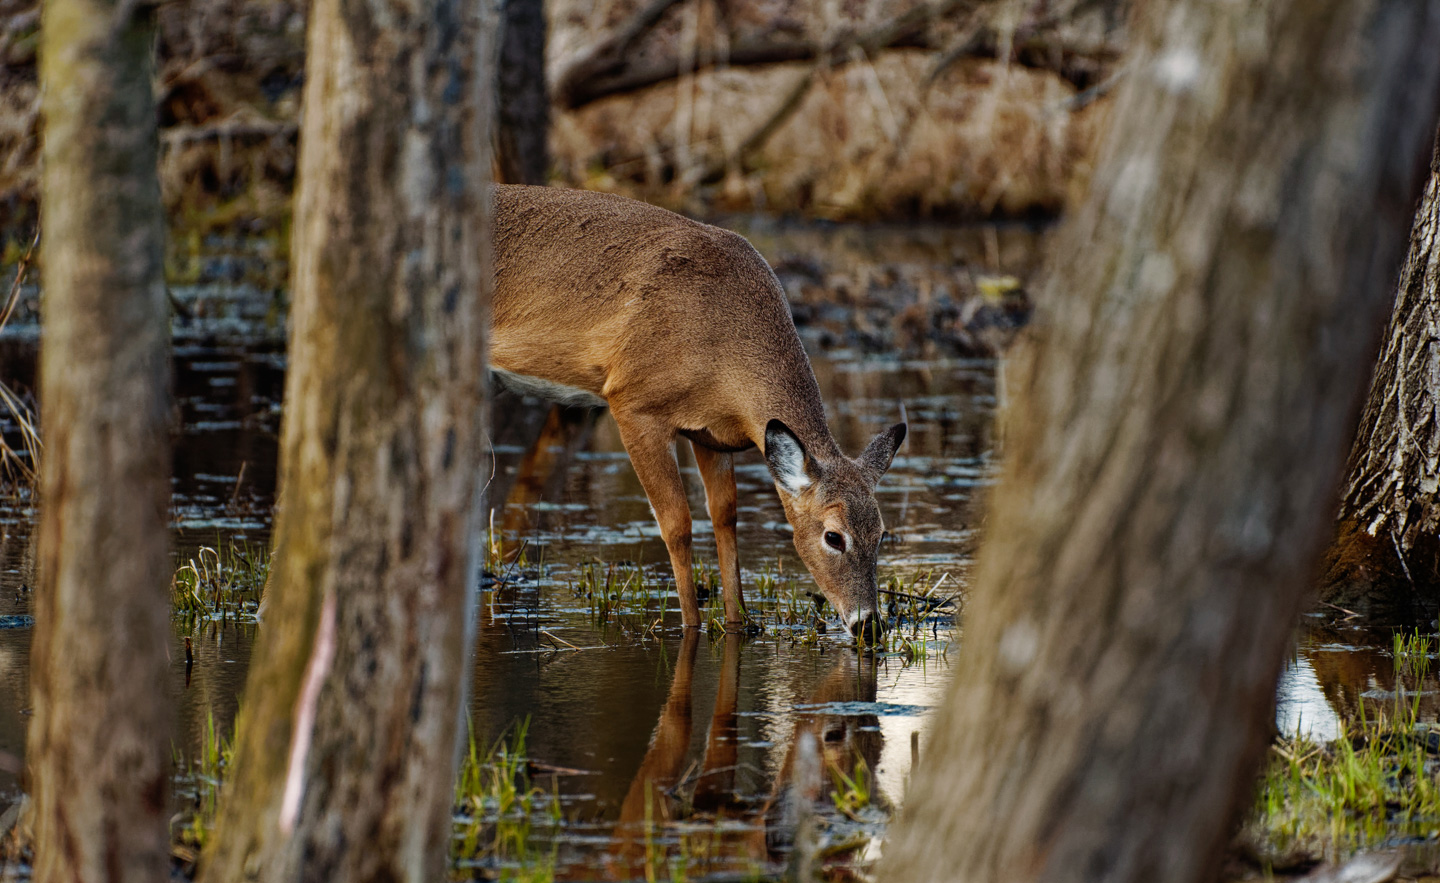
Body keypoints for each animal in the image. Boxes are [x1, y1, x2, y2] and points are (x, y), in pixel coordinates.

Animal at [489, 185, 904, 639]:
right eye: (833, 536)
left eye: (881, 533)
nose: (869, 624)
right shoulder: (634, 404)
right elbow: (677, 525)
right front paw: (691, 627)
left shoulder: (711, 435)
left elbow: (725, 517)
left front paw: (739, 623)